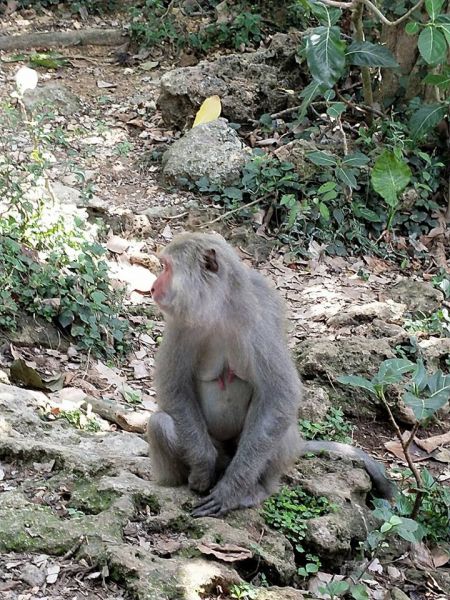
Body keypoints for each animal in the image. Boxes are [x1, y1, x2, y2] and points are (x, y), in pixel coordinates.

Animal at [147, 232, 394, 516]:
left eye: (166, 267)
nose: (152, 288)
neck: (219, 309)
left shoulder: (259, 326)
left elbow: (279, 397)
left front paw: (229, 491)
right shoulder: (180, 326)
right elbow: (174, 387)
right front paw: (202, 466)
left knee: (278, 428)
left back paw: (254, 490)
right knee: (160, 424)